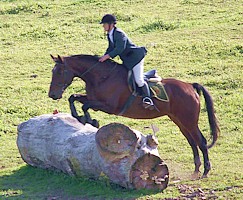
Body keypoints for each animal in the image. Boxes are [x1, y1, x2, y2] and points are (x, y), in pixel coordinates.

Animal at [48, 53, 219, 178]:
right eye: (53, 71)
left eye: (60, 71)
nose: (52, 95)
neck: (101, 77)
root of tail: (190, 86)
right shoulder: (92, 98)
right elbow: (74, 98)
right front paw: (81, 117)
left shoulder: (109, 107)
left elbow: (84, 105)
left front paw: (90, 120)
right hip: (180, 120)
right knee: (192, 142)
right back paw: (196, 170)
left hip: (189, 121)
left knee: (201, 141)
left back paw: (205, 171)